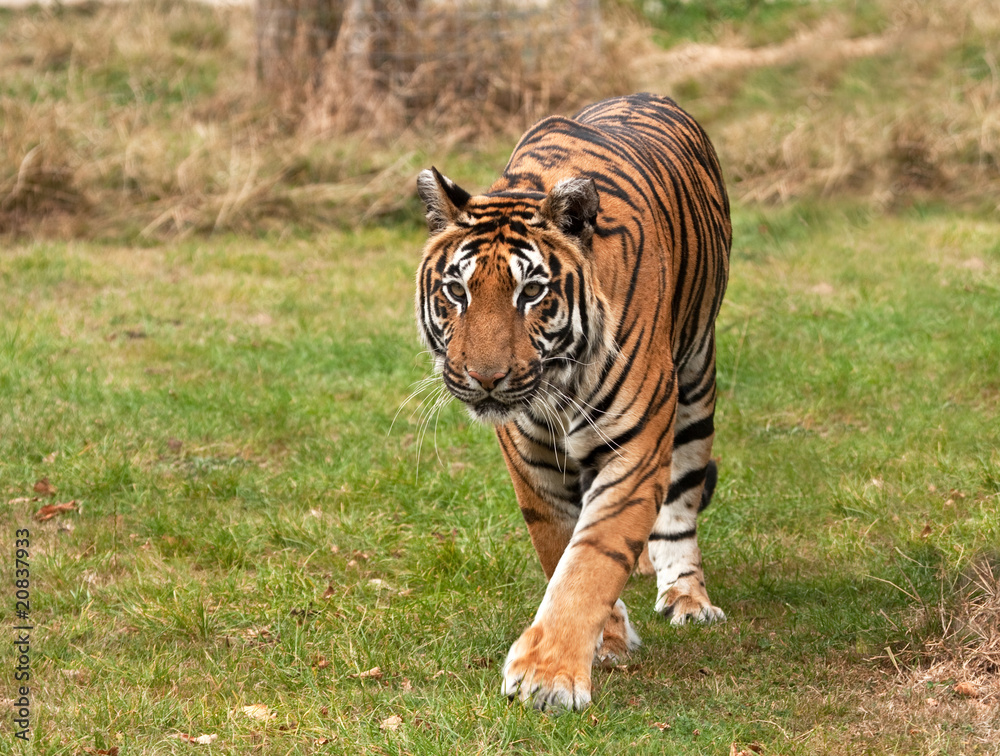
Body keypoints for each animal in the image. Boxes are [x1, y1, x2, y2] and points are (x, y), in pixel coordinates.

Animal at [415, 92, 732, 711]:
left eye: (532, 292)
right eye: (456, 291)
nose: (484, 378)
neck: (559, 385)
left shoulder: (636, 450)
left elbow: (591, 559)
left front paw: (549, 677)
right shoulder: (531, 460)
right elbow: (561, 547)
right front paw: (605, 639)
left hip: (695, 384)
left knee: (681, 507)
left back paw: (688, 599)